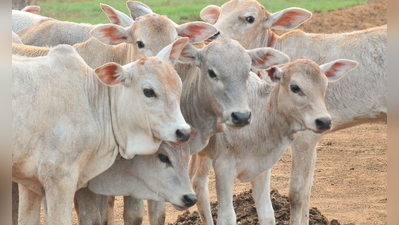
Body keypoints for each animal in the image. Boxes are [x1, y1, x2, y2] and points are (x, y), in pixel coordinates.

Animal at [13, 39, 191, 225]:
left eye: (178, 87)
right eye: (149, 91)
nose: (183, 132)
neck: (92, 101)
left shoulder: (29, 183)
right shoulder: (60, 178)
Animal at [191, 58, 360, 225]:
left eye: (324, 85)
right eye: (295, 87)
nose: (324, 121)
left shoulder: (262, 168)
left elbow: (267, 215)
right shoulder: (223, 168)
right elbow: (227, 217)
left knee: (198, 185)